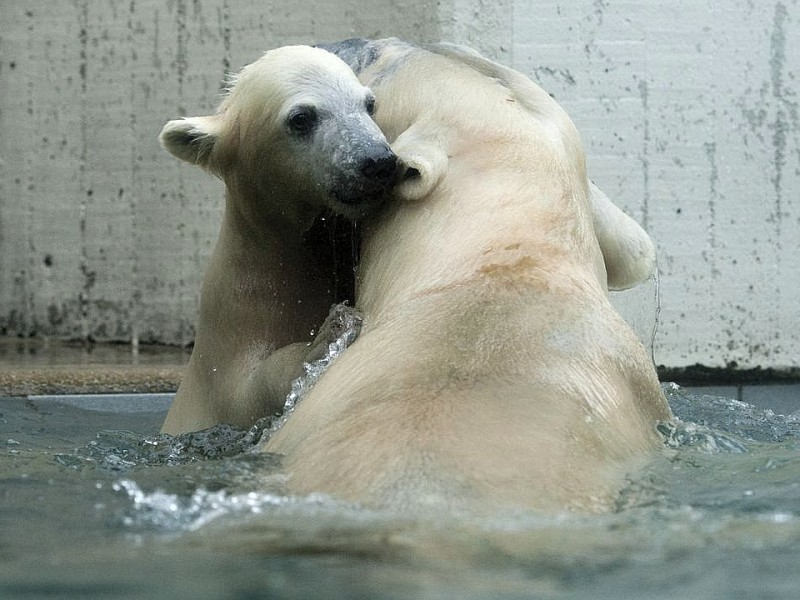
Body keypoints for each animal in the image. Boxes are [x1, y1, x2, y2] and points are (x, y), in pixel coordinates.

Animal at [160, 44, 400, 434]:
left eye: (369, 104)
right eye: (301, 118)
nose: (377, 161)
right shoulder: (231, 342)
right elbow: (252, 389)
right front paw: (329, 333)